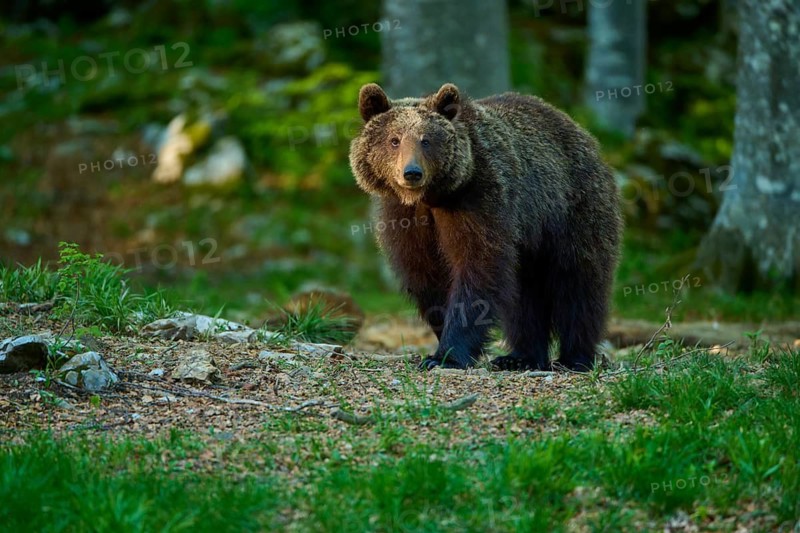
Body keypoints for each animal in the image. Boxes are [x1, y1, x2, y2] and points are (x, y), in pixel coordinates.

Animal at [349, 82, 622, 371]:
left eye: (426, 140)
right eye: (394, 140)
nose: (412, 173)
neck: (432, 197)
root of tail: (582, 133)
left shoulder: (480, 199)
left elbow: (478, 267)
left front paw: (446, 355)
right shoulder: (405, 218)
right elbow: (425, 274)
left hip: (572, 209)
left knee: (577, 283)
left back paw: (575, 357)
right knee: (525, 292)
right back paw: (521, 357)